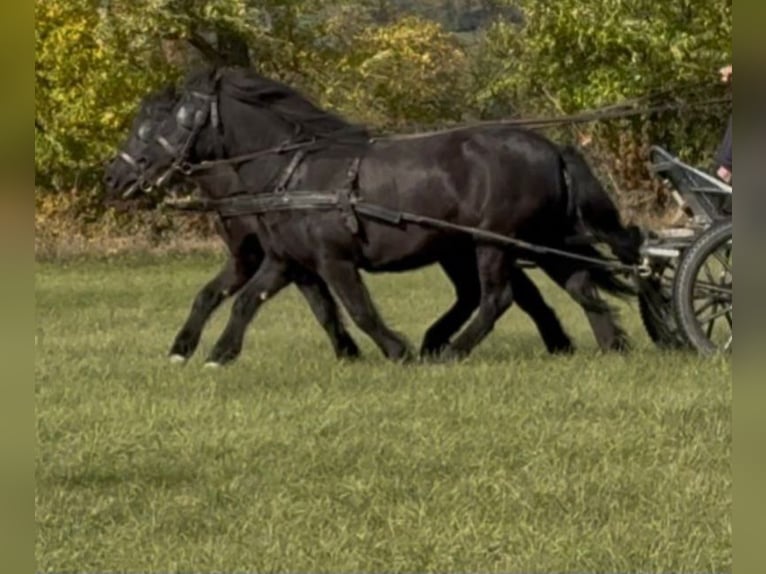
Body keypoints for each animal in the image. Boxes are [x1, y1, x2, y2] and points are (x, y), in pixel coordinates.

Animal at [108, 66, 641, 367]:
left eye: (162, 121)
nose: (115, 177)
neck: (293, 171)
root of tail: (550, 147)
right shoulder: (283, 261)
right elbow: (243, 301)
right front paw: (212, 354)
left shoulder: (332, 260)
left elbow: (358, 308)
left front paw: (394, 349)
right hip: (535, 240)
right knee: (579, 284)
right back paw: (611, 344)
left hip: (493, 243)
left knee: (499, 297)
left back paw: (450, 350)